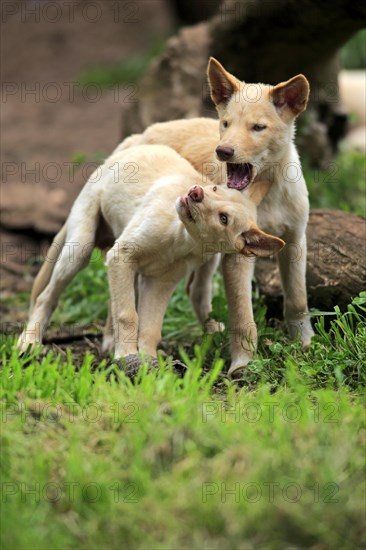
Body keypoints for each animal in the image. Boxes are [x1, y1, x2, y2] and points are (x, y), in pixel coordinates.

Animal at [18, 147, 284, 362]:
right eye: (215, 188)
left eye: (224, 219)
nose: (195, 192)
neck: (182, 239)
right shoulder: (121, 255)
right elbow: (128, 314)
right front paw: (127, 356)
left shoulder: (160, 282)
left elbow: (150, 324)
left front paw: (146, 360)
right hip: (80, 245)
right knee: (45, 297)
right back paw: (29, 342)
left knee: (113, 298)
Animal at [112, 58, 314, 378]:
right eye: (226, 124)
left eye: (258, 127)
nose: (223, 151)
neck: (266, 194)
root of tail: (140, 135)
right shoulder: (239, 257)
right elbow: (243, 315)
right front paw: (243, 364)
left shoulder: (295, 240)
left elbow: (297, 299)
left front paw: (304, 345)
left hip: (208, 249)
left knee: (195, 290)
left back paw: (211, 332)